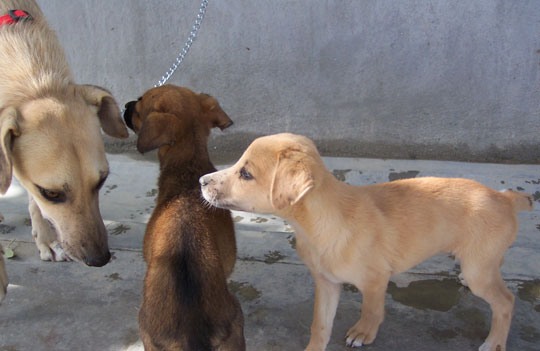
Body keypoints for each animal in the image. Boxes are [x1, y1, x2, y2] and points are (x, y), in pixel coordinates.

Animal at [200, 133, 532, 351]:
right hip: (482, 263)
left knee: (505, 301)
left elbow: (371, 311)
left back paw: (494, 342)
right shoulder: (326, 283)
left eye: (246, 173)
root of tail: (505, 197)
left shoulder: (375, 281)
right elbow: (320, 326)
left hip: (480, 273)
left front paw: (363, 333)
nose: (201, 181)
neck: (321, 224)